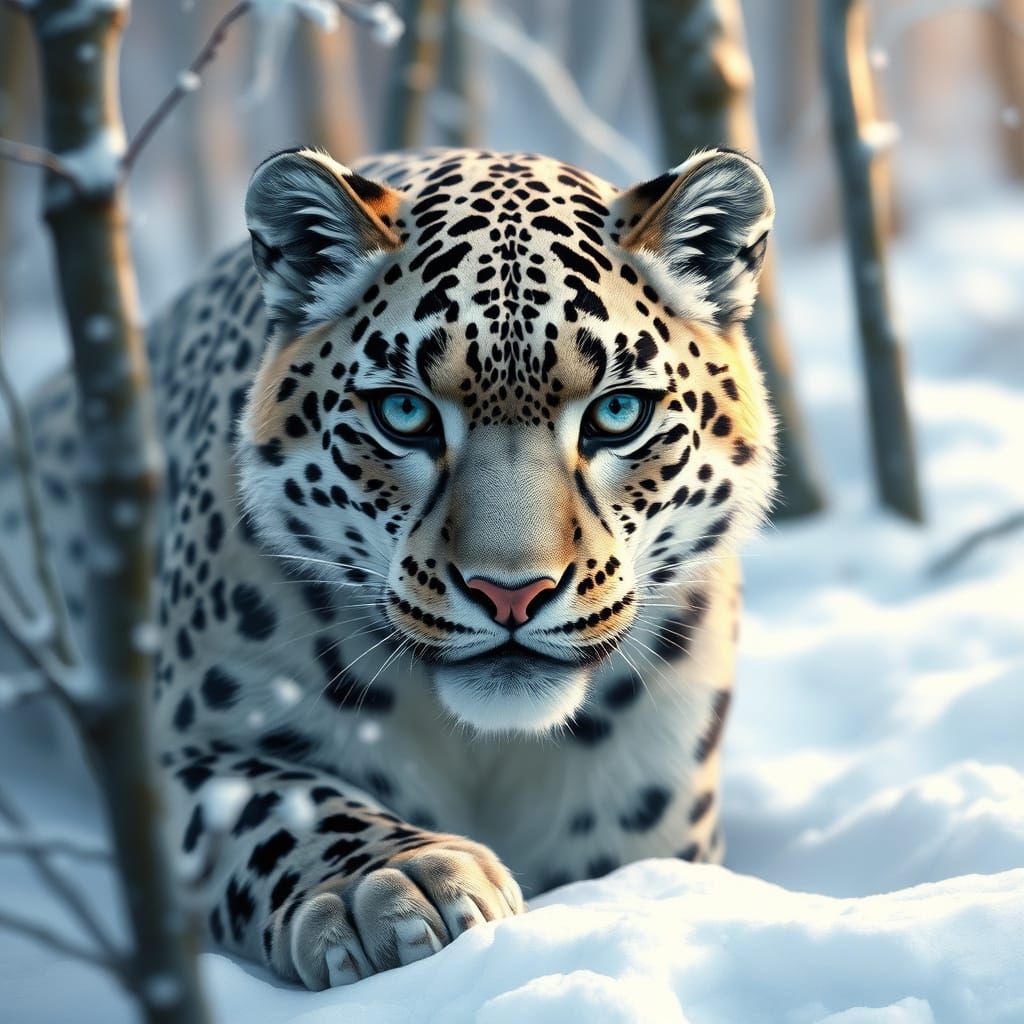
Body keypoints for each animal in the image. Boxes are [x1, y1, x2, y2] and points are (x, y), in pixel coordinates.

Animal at [0, 145, 777, 989]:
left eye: (617, 414)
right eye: (403, 415)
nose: (511, 594)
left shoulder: (650, 832)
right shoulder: (187, 754)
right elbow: (282, 807)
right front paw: (393, 886)